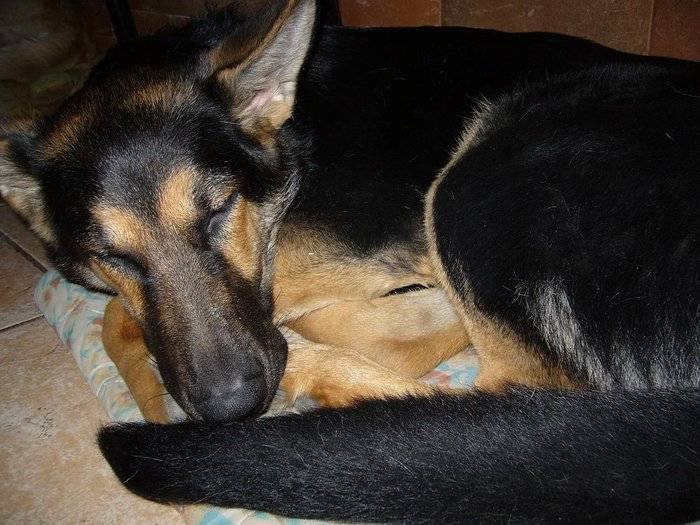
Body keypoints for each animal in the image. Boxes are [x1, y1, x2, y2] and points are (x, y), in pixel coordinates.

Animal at [1, 0, 698, 522]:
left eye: (219, 210)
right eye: (108, 253)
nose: (229, 408)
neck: (292, 134)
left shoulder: (358, 239)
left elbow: (117, 319)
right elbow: (121, 312)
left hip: (475, 181)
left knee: (497, 400)